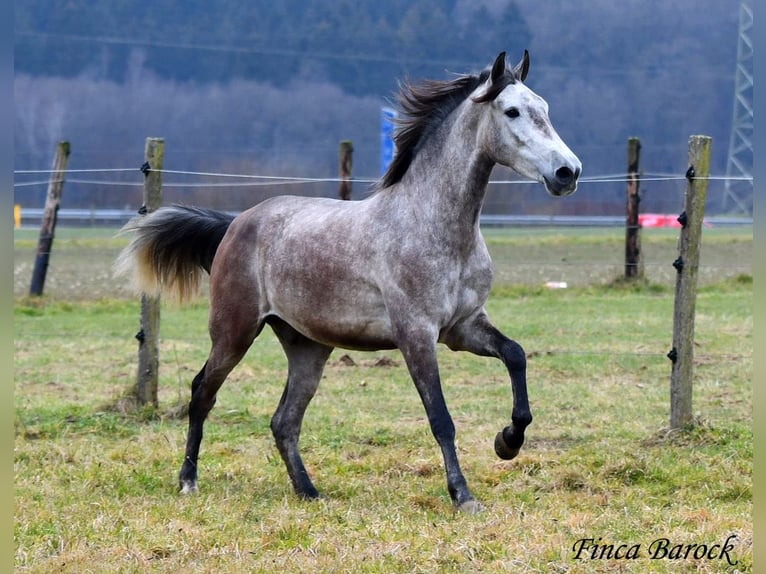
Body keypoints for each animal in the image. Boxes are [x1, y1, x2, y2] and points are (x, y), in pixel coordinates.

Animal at [115, 53, 584, 512]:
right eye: (512, 111)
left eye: (544, 108)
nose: (568, 172)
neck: (434, 226)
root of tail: (236, 223)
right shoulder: (416, 334)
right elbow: (441, 418)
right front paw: (463, 496)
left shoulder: (463, 327)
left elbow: (516, 355)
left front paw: (507, 442)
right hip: (234, 331)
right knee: (202, 393)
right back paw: (188, 481)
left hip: (307, 347)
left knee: (284, 420)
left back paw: (309, 492)